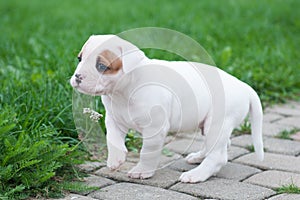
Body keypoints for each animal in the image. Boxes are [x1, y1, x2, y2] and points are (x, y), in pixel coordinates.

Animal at [69, 34, 262, 183]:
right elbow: (113, 139)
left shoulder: (155, 129)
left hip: (217, 123)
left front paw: (142, 170)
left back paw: (196, 175)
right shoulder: (114, 119)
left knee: (218, 155)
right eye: (79, 59)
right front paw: (115, 159)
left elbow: (147, 152)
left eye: (102, 66)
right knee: (219, 145)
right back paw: (198, 157)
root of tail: (245, 87)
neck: (124, 90)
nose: (77, 76)